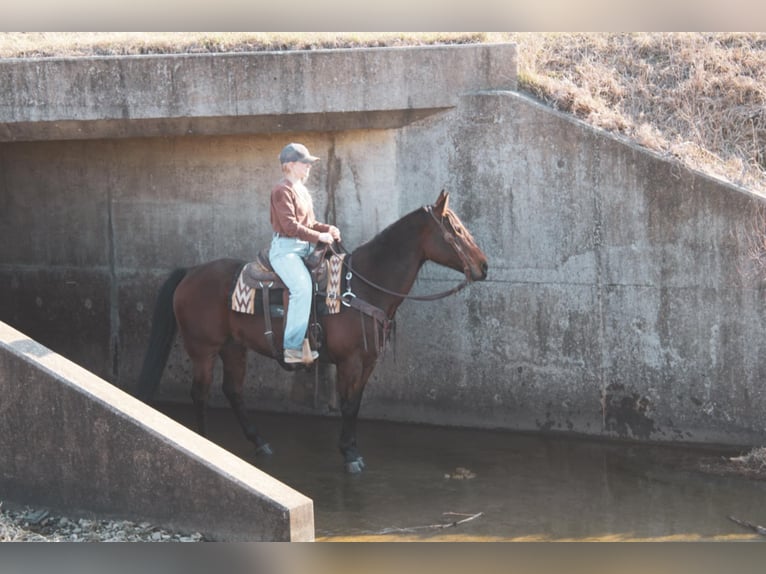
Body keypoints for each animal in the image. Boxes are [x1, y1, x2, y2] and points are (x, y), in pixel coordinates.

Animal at [135, 191, 488, 474]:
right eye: (456, 230)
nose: (484, 266)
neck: (362, 286)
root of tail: (190, 273)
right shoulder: (350, 361)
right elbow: (347, 405)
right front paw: (350, 456)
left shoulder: (368, 361)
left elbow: (356, 403)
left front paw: (352, 449)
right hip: (203, 349)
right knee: (201, 393)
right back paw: (206, 441)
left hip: (234, 347)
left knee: (233, 391)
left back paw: (259, 442)